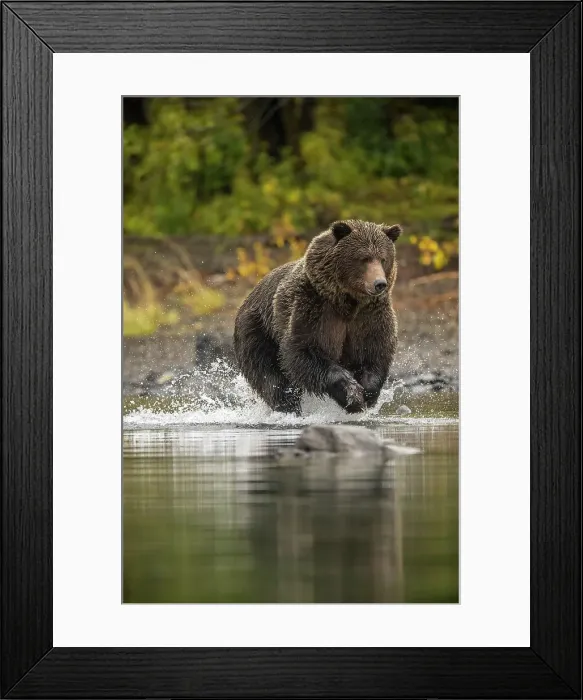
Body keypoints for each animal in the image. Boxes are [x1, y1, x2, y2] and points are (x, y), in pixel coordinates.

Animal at [233, 219, 402, 414]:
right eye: (364, 258)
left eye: (383, 259)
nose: (379, 283)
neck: (347, 302)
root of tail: (248, 297)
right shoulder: (314, 307)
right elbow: (304, 350)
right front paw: (351, 393)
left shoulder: (370, 315)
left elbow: (375, 351)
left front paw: (367, 393)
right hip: (257, 331)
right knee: (271, 378)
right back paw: (288, 407)